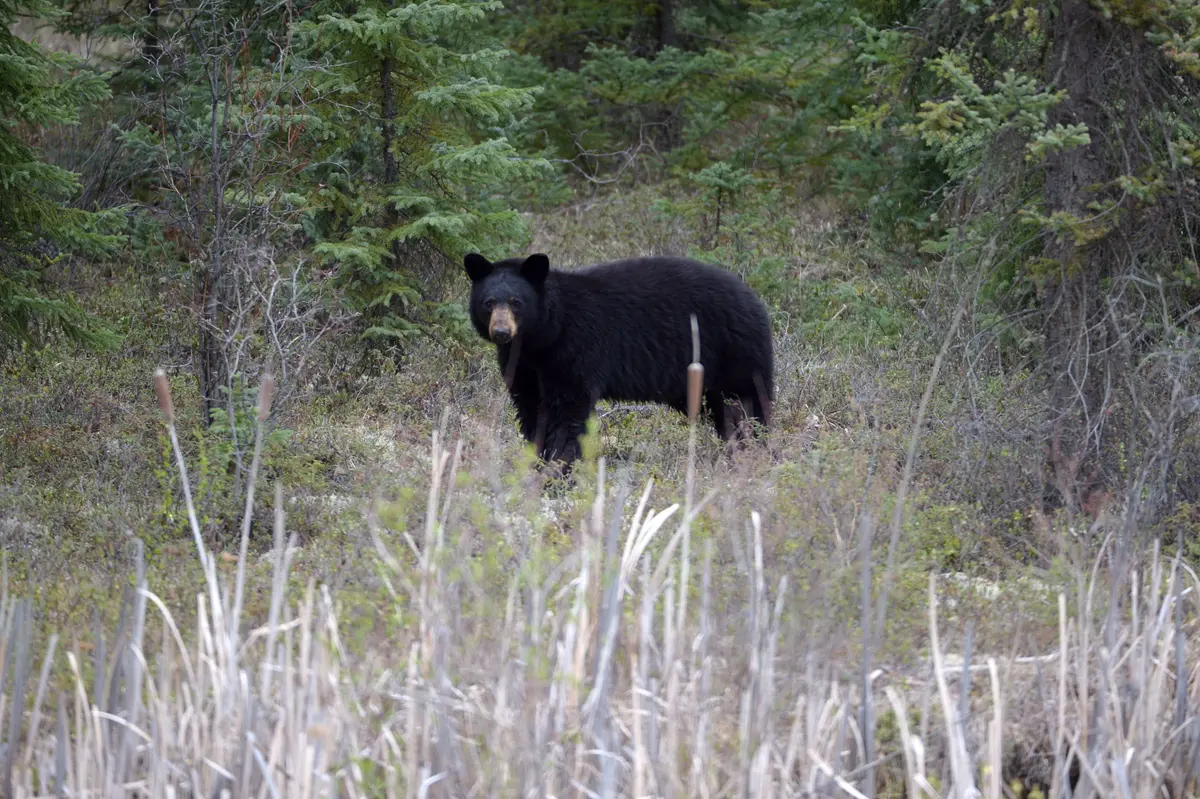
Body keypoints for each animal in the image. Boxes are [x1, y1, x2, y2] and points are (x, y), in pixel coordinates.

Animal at [464, 251, 774, 471]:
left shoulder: (575, 349)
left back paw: (755, 449)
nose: (501, 332)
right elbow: (530, 408)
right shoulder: (522, 364)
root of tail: (755, 298)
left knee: (749, 404)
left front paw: (558, 468)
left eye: (516, 302)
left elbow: (568, 411)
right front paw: (536, 461)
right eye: (489, 302)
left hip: (734, 353)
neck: (543, 336)